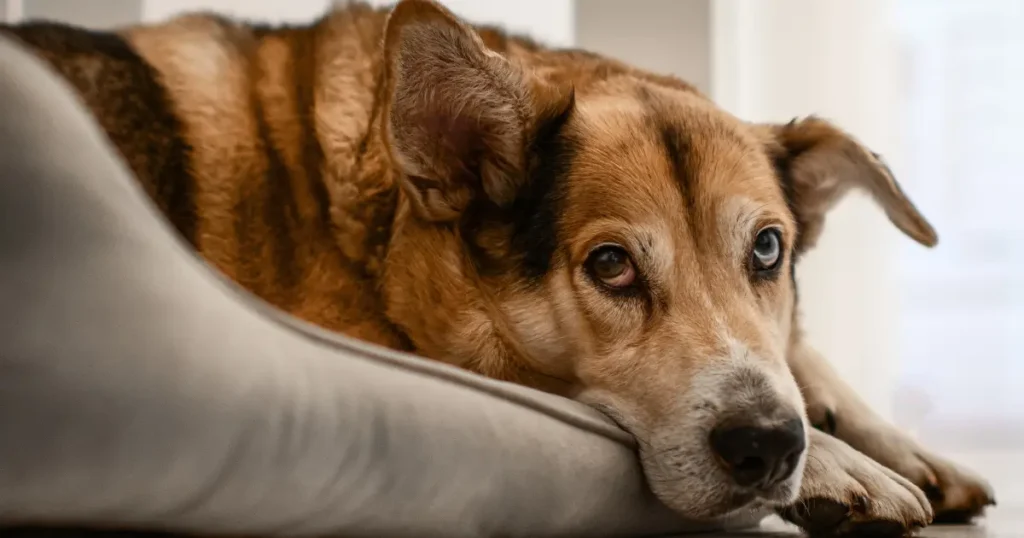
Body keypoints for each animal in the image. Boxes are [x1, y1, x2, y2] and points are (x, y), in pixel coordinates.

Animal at [0, 1, 991, 532]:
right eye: (610, 266)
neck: (376, 222)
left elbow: (799, 353)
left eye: (768, 249)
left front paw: (885, 438)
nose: (771, 446)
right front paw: (842, 463)